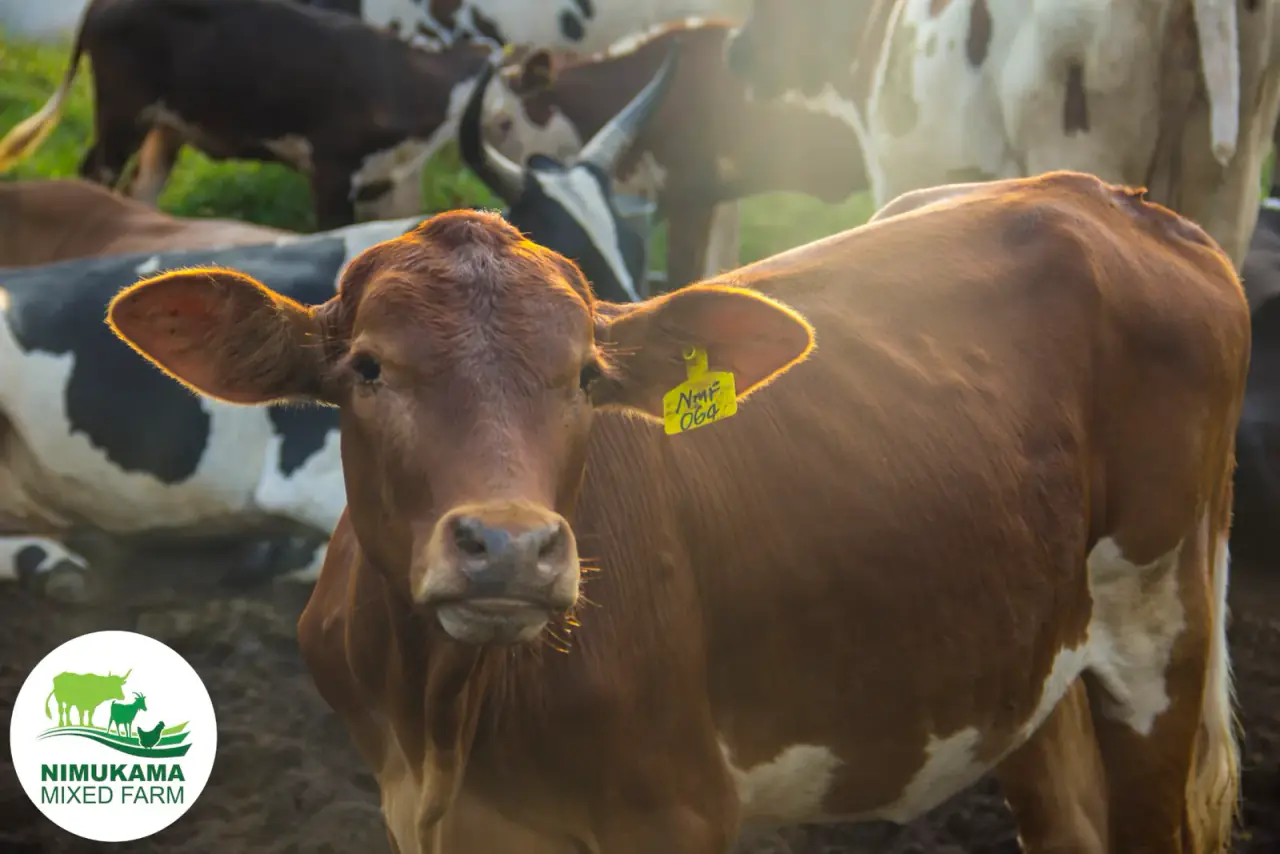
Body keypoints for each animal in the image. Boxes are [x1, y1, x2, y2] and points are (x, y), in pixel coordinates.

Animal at [0, 0, 491, 229]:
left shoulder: (388, 182)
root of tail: (101, 6)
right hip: (122, 108)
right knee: (96, 171)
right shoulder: (331, 168)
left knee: (142, 185)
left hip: (167, 124)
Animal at [107, 171, 1246, 854]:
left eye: (584, 374)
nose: (510, 548)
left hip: (1161, 628)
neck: (447, 715)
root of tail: (1107, 196)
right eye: (368, 368)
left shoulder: (674, 806)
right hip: (1031, 661)